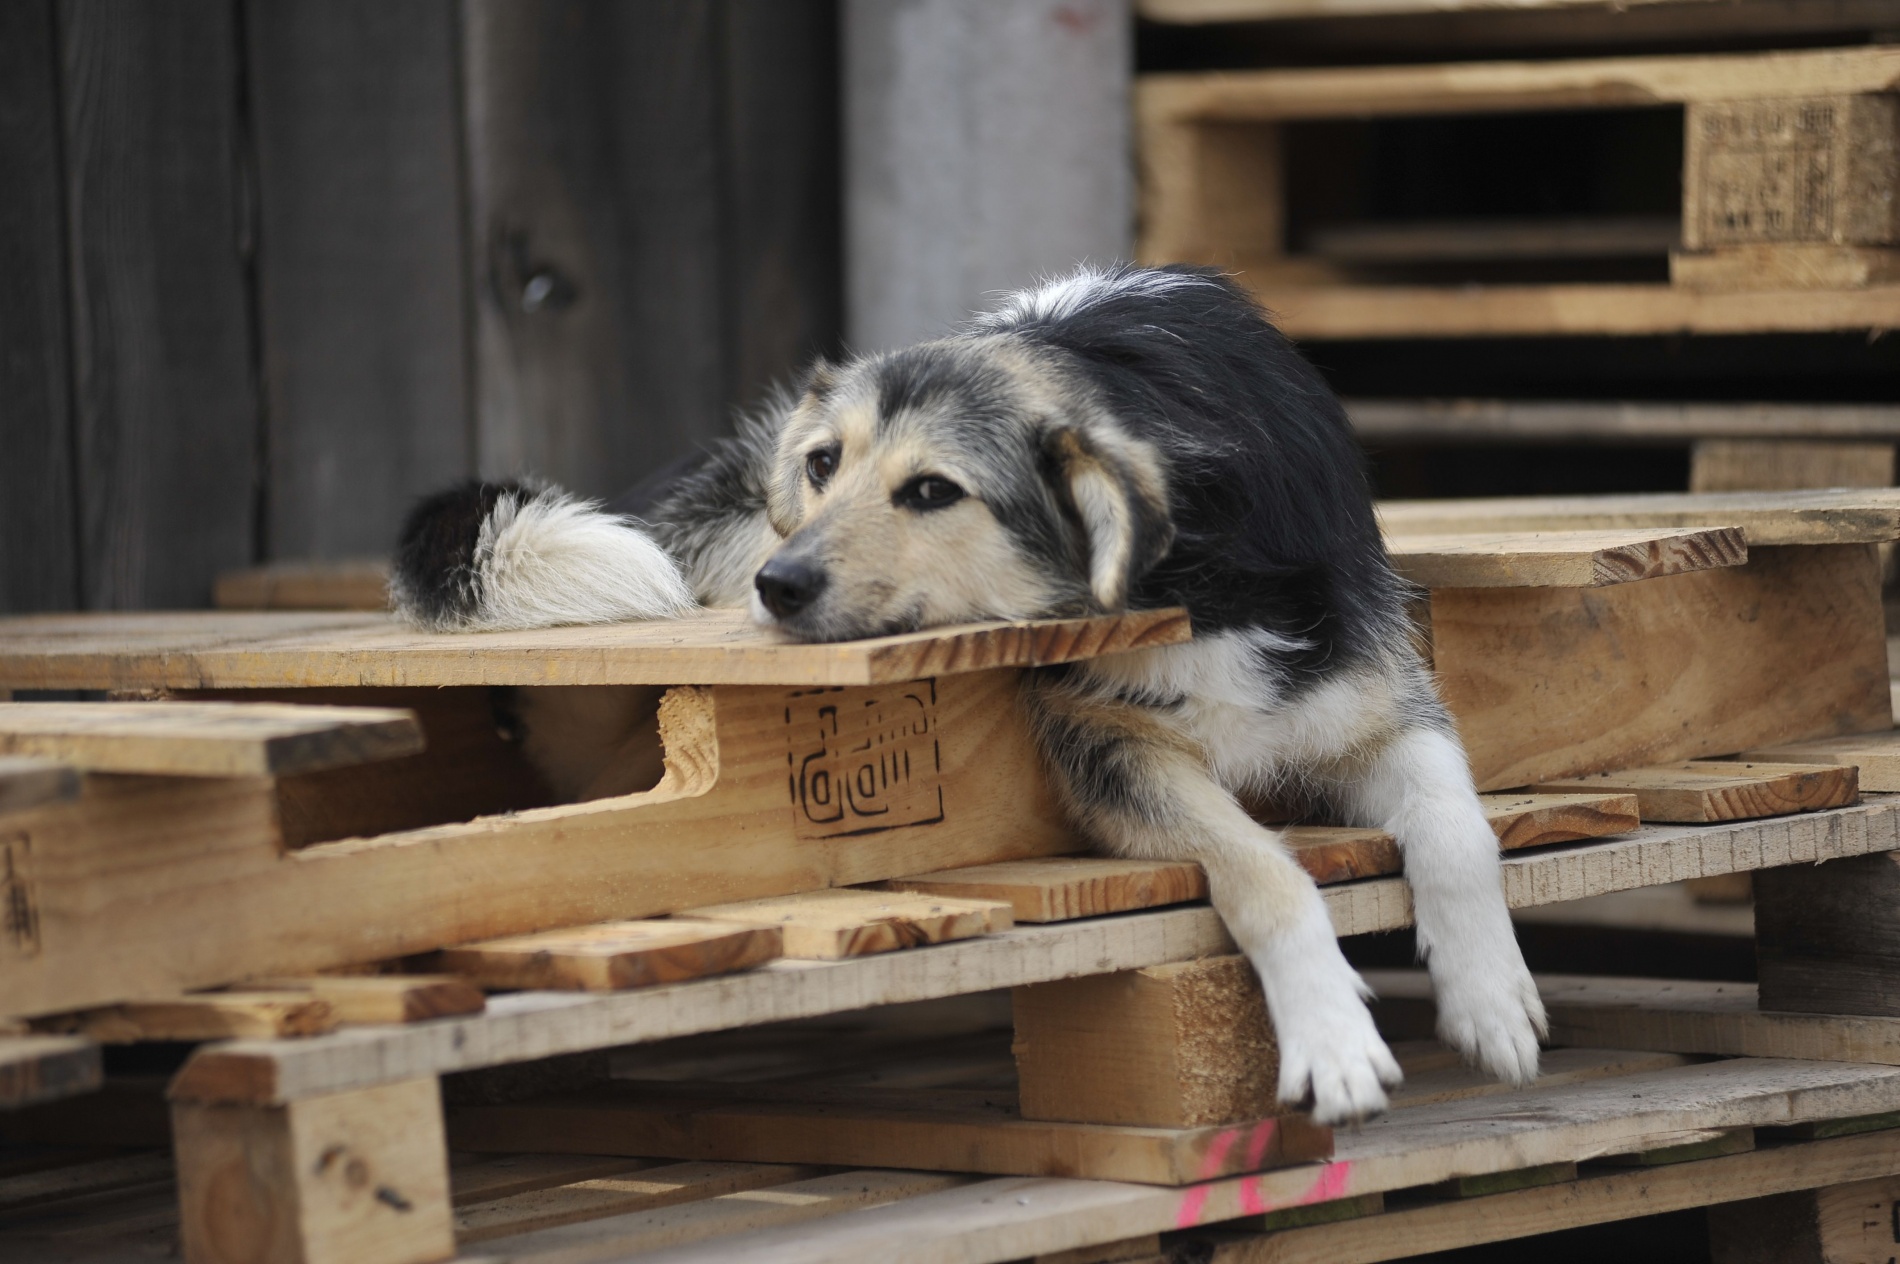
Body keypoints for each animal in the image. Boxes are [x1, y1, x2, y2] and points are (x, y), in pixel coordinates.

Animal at [389, 260, 1542, 1117]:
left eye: (935, 491)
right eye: (823, 465)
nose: (779, 587)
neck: (1191, 569)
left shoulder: (1379, 700)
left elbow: (1458, 830)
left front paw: (1490, 1000)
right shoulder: (1107, 749)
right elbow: (1268, 872)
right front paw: (1333, 1038)